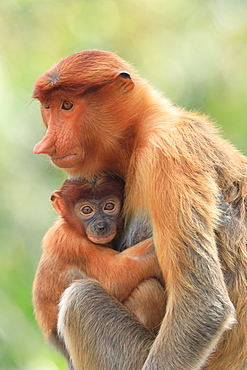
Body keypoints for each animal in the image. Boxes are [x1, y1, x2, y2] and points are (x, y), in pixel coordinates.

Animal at [31, 175, 165, 366]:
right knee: (147, 289)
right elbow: (115, 279)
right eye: (86, 210)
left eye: (109, 206)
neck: (73, 227)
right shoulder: (69, 242)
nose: (101, 226)